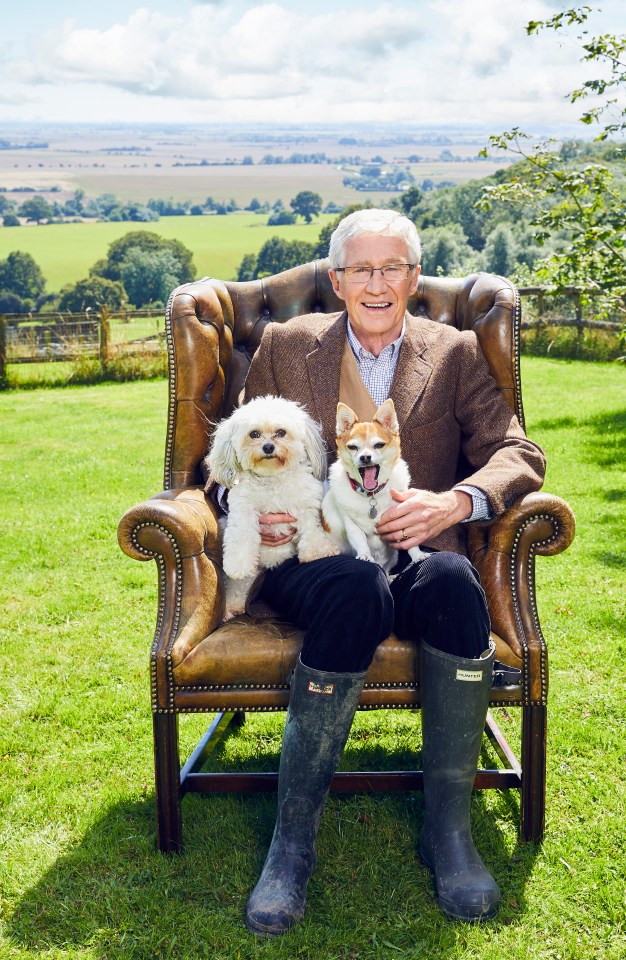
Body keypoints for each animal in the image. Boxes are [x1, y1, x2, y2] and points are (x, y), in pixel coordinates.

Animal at [206, 394, 338, 620]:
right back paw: (231, 608)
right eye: (254, 434)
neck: (272, 478)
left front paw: (316, 553)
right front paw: (238, 565)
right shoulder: (242, 512)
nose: (268, 447)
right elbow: (241, 538)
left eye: (281, 432)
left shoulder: (307, 506)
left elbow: (312, 530)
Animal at [322, 400, 424, 572]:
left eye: (379, 445)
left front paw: (418, 555)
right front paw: (365, 556)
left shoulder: (400, 517)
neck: (372, 495)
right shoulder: (351, 525)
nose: (365, 457)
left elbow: (409, 539)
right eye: (352, 447)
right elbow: (359, 540)